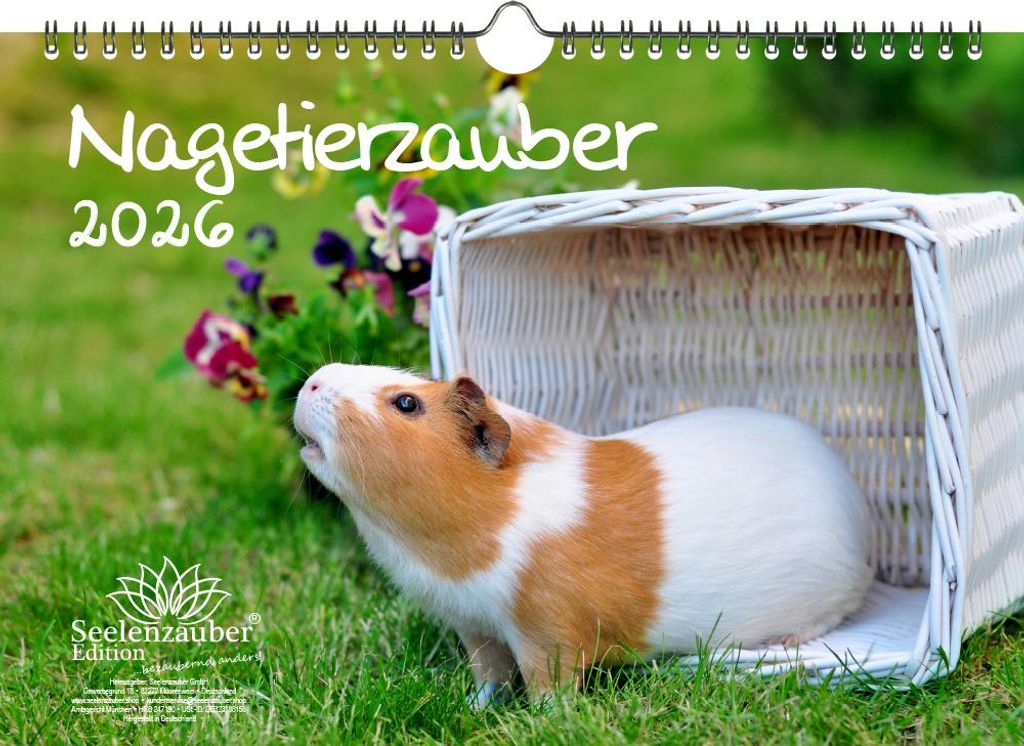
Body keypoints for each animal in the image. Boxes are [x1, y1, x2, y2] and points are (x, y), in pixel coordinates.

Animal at [294, 363, 872, 704]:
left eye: (406, 403)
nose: (314, 381)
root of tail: (854, 504)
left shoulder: (546, 633)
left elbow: (549, 685)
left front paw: (544, 720)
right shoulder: (477, 628)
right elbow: (490, 676)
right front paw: (474, 707)